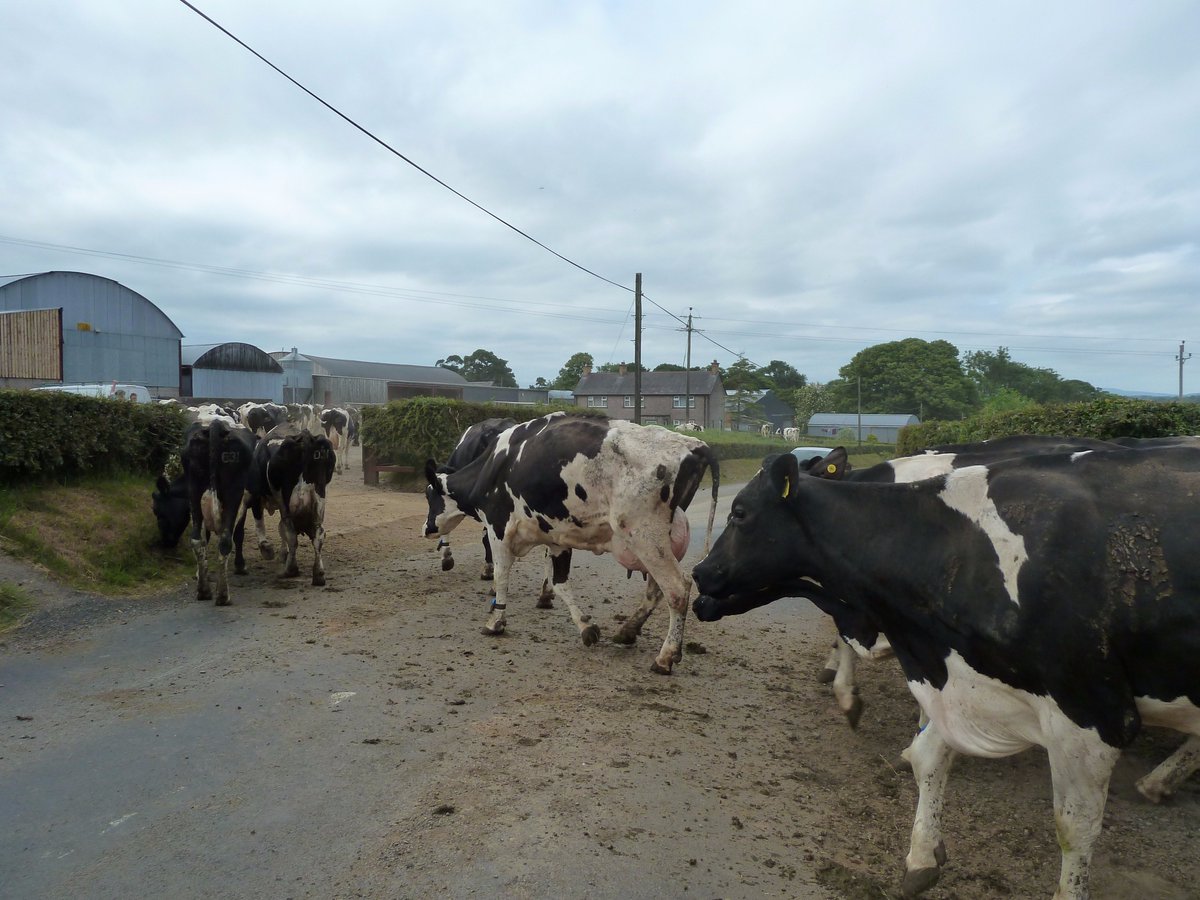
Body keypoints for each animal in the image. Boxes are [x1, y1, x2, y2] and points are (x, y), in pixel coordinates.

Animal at [247, 427, 333, 588]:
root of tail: (305, 439)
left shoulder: (256, 497)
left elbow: (261, 524)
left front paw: (268, 550)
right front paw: (282, 553)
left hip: (287, 505)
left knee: (291, 534)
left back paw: (290, 570)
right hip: (318, 502)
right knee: (318, 535)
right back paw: (318, 575)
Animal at [424, 412, 715, 672]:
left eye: (429, 496)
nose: (426, 528)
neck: (495, 467)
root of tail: (695, 445)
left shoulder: (498, 528)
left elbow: (501, 575)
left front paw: (495, 621)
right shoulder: (557, 541)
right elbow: (560, 583)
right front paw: (586, 627)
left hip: (645, 537)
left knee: (677, 589)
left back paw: (665, 656)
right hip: (656, 543)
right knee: (655, 590)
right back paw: (628, 631)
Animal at [691, 448, 1200, 897]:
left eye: (740, 513)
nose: (699, 573)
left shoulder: (1093, 709)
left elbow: (1075, 827)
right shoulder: (958, 674)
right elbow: (928, 756)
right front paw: (921, 857)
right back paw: (1159, 781)